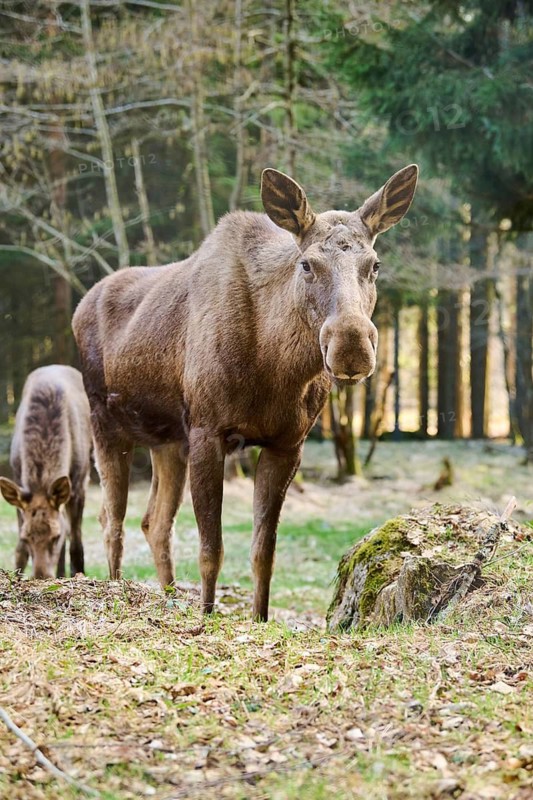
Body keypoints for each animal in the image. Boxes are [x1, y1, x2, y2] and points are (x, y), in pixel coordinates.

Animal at [0, 365, 92, 579]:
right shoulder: (19, 482)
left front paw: (78, 574)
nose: (41, 575)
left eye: (55, 536)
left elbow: (76, 543)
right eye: (26, 537)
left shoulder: (77, 485)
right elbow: (19, 550)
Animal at [72, 164, 418, 620]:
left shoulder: (286, 443)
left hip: (166, 441)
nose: (351, 345)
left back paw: (167, 596)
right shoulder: (207, 431)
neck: (274, 369)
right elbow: (211, 549)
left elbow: (263, 552)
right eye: (307, 264)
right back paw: (116, 590)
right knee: (111, 520)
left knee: (155, 522)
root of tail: (80, 306)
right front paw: (206, 614)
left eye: (374, 265)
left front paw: (259, 617)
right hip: (106, 423)